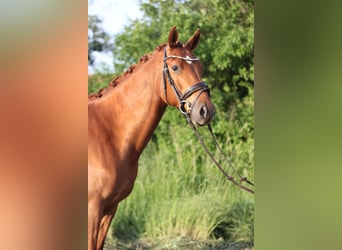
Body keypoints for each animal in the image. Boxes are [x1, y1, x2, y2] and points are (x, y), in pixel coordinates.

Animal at [89, 26, 215, 249]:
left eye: (200, 67)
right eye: (175, 67)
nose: (205, 110)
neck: (108, 132)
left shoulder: (110, 208)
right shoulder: (92, 209)